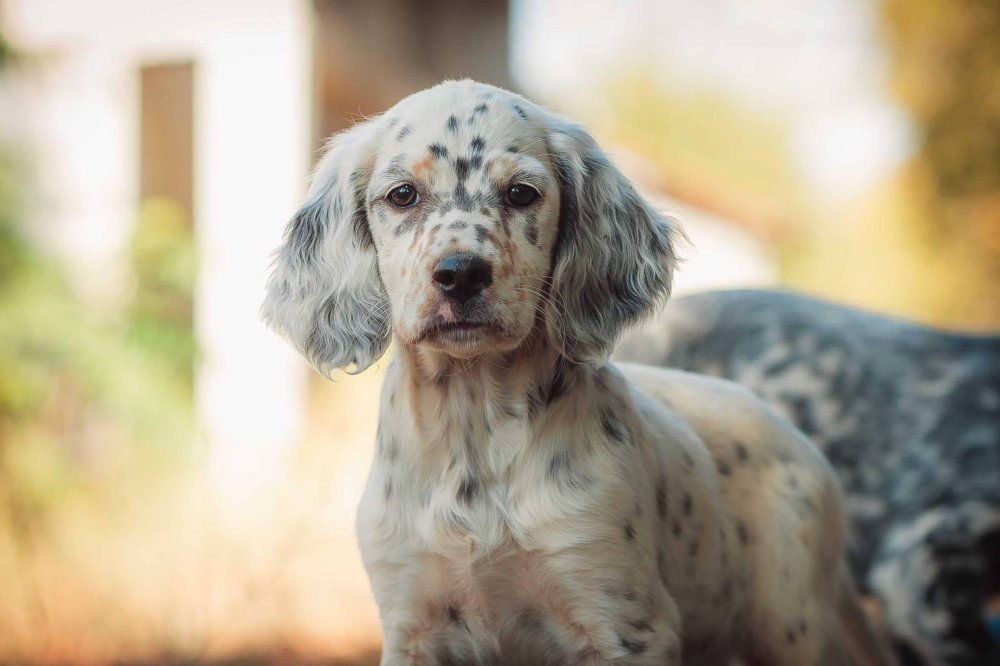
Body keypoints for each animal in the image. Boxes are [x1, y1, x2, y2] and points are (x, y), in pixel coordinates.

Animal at [262, 81, 896, 664]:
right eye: (402, 195)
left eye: (521, 193)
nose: (461, 273)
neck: (474, 426)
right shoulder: (412, 618)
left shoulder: (619, 618)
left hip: (794, 624)